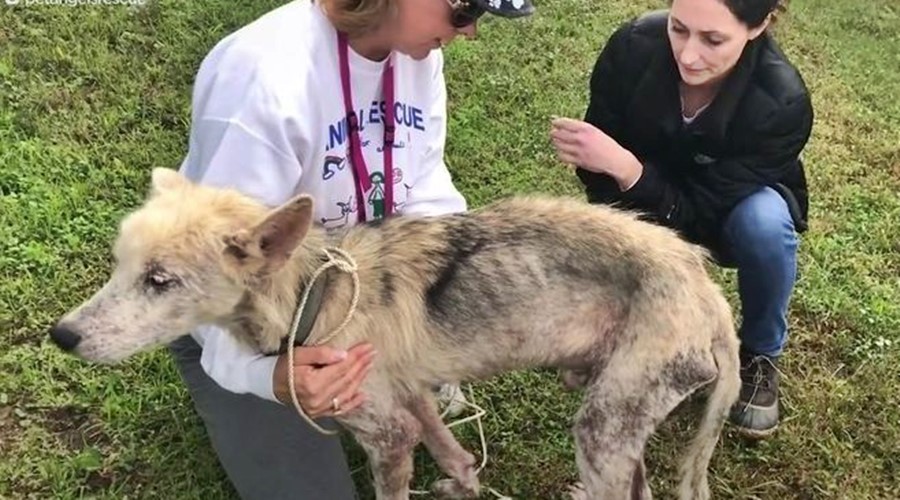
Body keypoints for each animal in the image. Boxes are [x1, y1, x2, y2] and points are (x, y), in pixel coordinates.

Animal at [47, 169, 740, 500]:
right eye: (119, 265)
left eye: (159, 281)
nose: (62, 336)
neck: (314, 296)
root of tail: (708, 293)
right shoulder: (409, 402)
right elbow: (453, 451)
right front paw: (464, 486)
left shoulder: (385, 434)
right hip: (618, 427)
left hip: (602, 427)